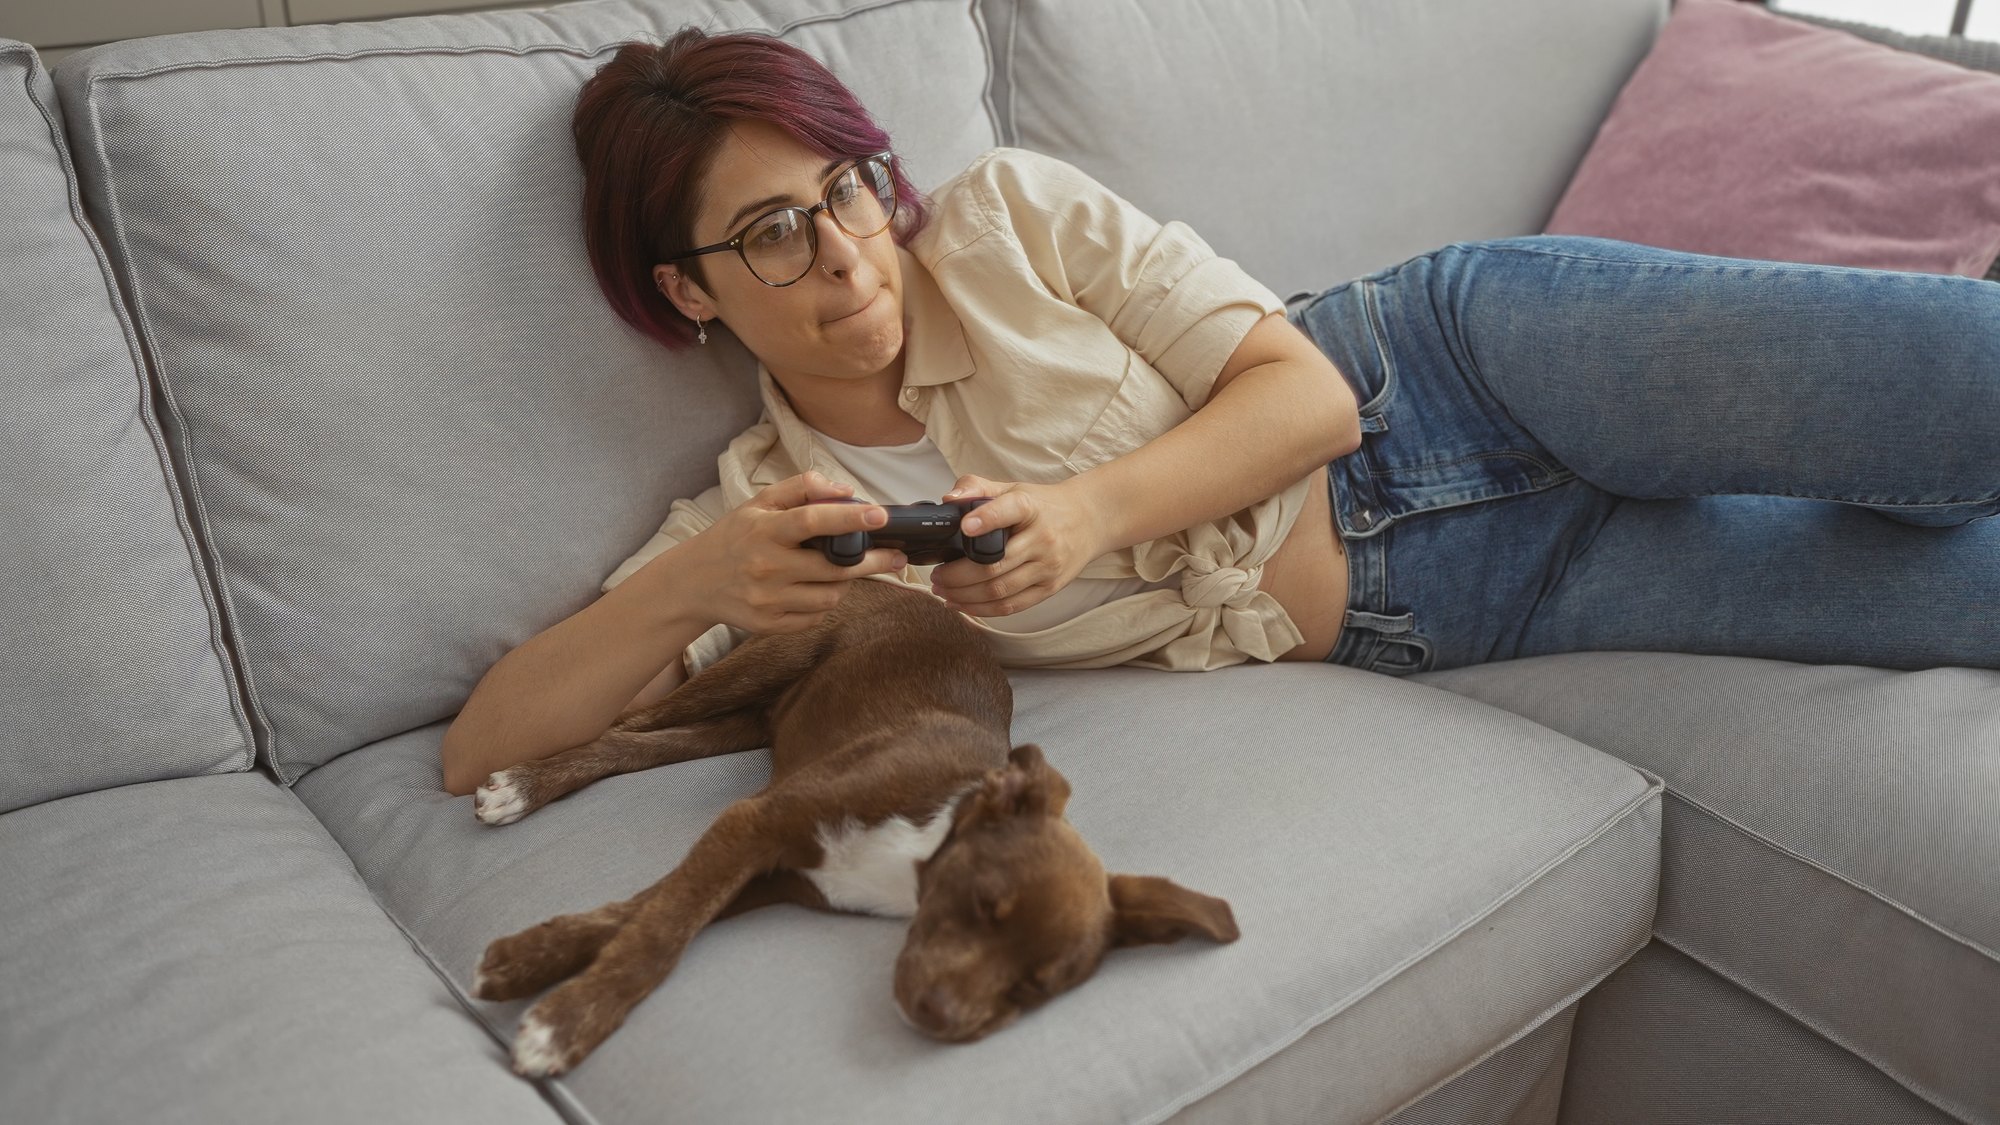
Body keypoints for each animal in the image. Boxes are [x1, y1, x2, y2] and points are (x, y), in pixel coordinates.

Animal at [466, 572, 1232, 1072]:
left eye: (1036, 988)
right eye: (983, 902)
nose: (938, 1017)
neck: (920, 851)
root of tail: (901, 584)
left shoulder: (775, 872)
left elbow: (646, 907)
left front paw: (523, 961)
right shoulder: (757, 820)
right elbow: (659, 932)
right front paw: (562, 1026)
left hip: (740, 725)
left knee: (638, 744)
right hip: (768, 658)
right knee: (623, 723)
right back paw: (521, 785)